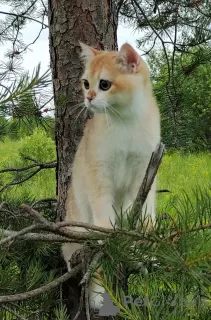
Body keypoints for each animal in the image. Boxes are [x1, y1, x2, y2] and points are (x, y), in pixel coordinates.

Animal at [61, 41, 161, 312]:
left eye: (104, 84)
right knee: (91, 268)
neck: (125, 122)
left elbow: (141, 213)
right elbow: (104, 220)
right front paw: (110, 236)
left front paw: (141, 246)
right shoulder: (100, 175)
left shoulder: (142, 175)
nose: (88, 97)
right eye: (86, 83)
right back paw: (96, 297)